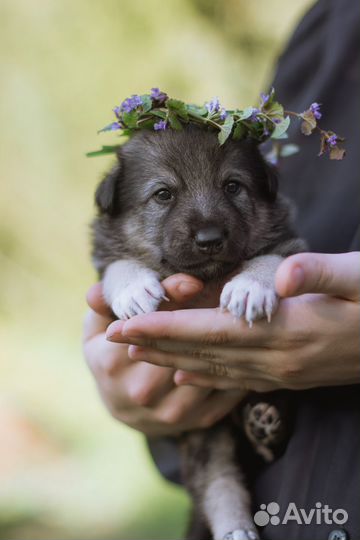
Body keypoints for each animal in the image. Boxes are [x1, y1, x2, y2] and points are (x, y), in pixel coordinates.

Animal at [91, 126, 306, 540]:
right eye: (163, 194)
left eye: (232, 186)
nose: (209, 239)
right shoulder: (105, 266)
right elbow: (118, 265)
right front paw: (133, 288)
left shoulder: (290, 245)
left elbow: (269, 260)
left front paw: (249, 287)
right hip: (205, 436)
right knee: (218, 483)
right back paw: (235, 526)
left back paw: (263, 427)